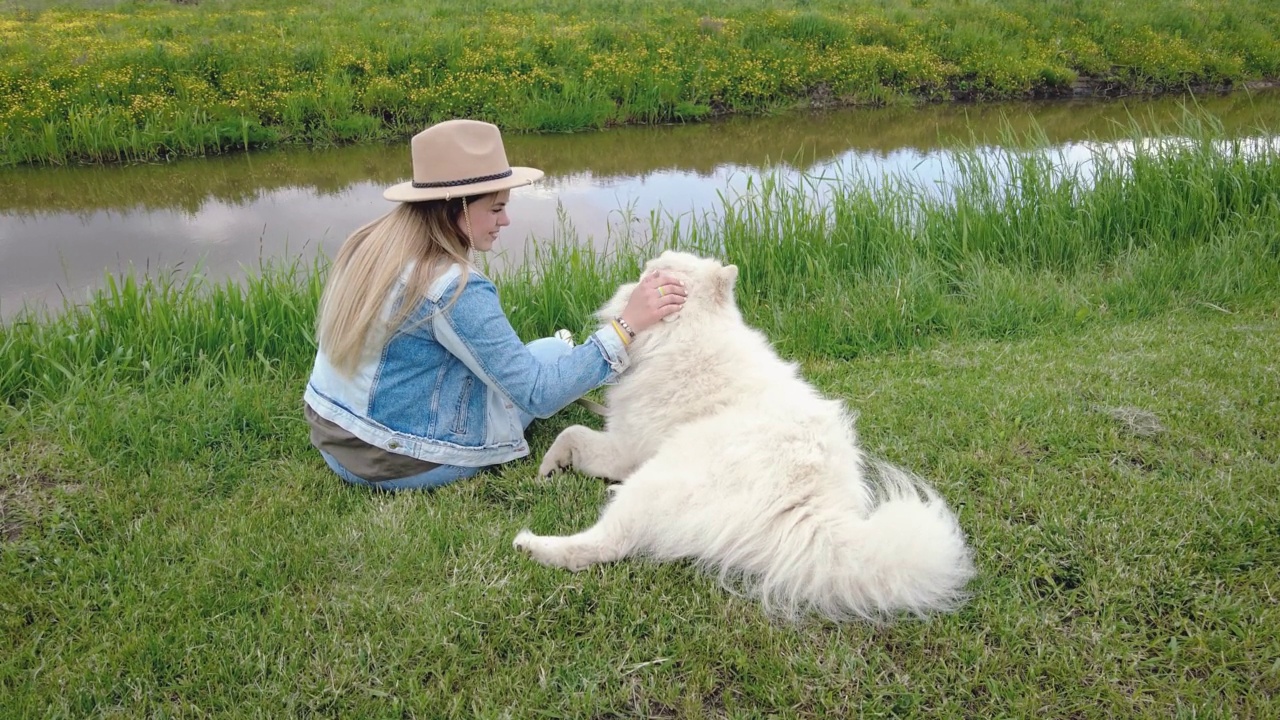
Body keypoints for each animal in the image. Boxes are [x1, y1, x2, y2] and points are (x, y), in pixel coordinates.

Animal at [514, 251, 972, 617]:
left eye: (657, 270)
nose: (642, 265)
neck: (687, 331)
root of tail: (809, 503)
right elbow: (573, 432)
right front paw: (552, 468)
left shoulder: (626, 447)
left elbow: (572, 430)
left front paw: (548, 465)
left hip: (656, 481)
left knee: (604, 545)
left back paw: (535, 545)